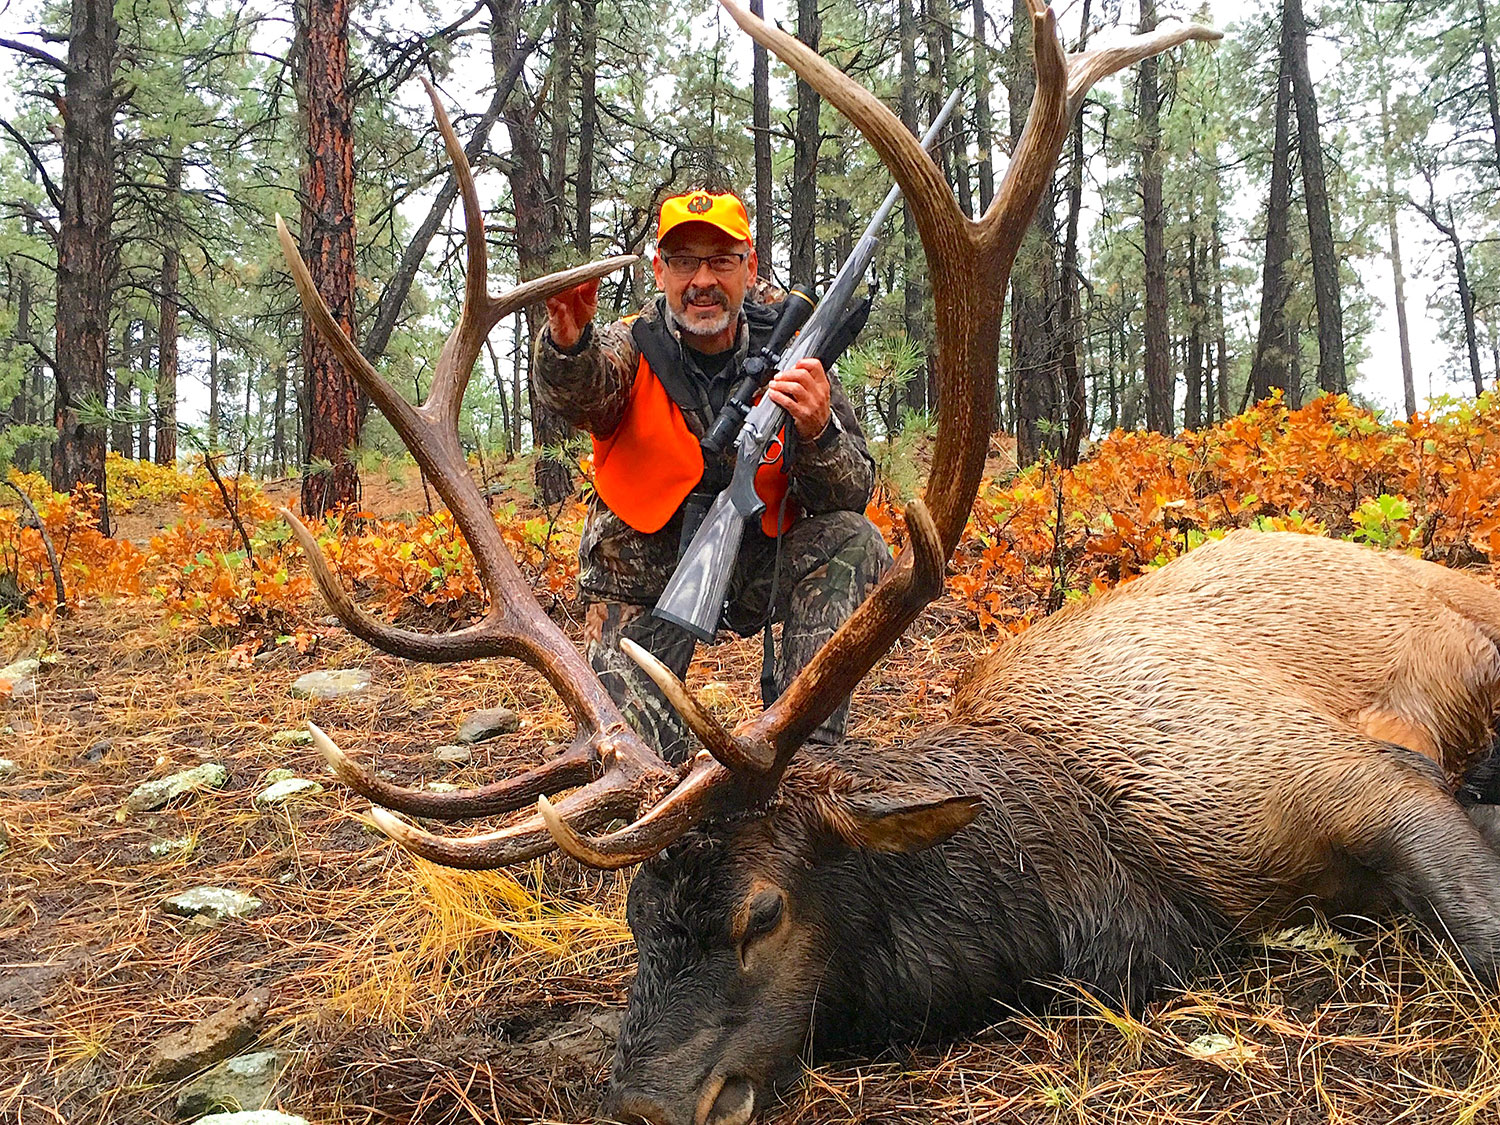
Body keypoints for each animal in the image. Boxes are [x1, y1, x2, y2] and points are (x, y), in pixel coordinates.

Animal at [276, 8, 1500, 1125]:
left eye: (762, 914)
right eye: (633, 920)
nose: (642, 1106)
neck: (1120, 873)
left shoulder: (1341, 775)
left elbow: (1477, 928)